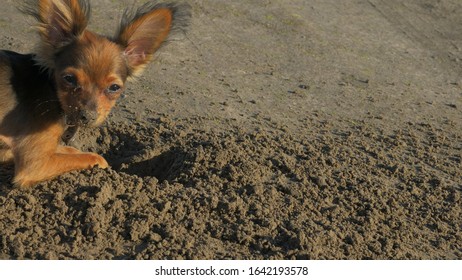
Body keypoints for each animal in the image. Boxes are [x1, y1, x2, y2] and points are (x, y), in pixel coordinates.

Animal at [0, 1, 190, 188]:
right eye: (69, 79)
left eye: (114, 87)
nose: (87, 116)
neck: (52, 92)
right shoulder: (35, 164)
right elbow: (91, 156)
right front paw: (102, 163)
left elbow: (71, 150)